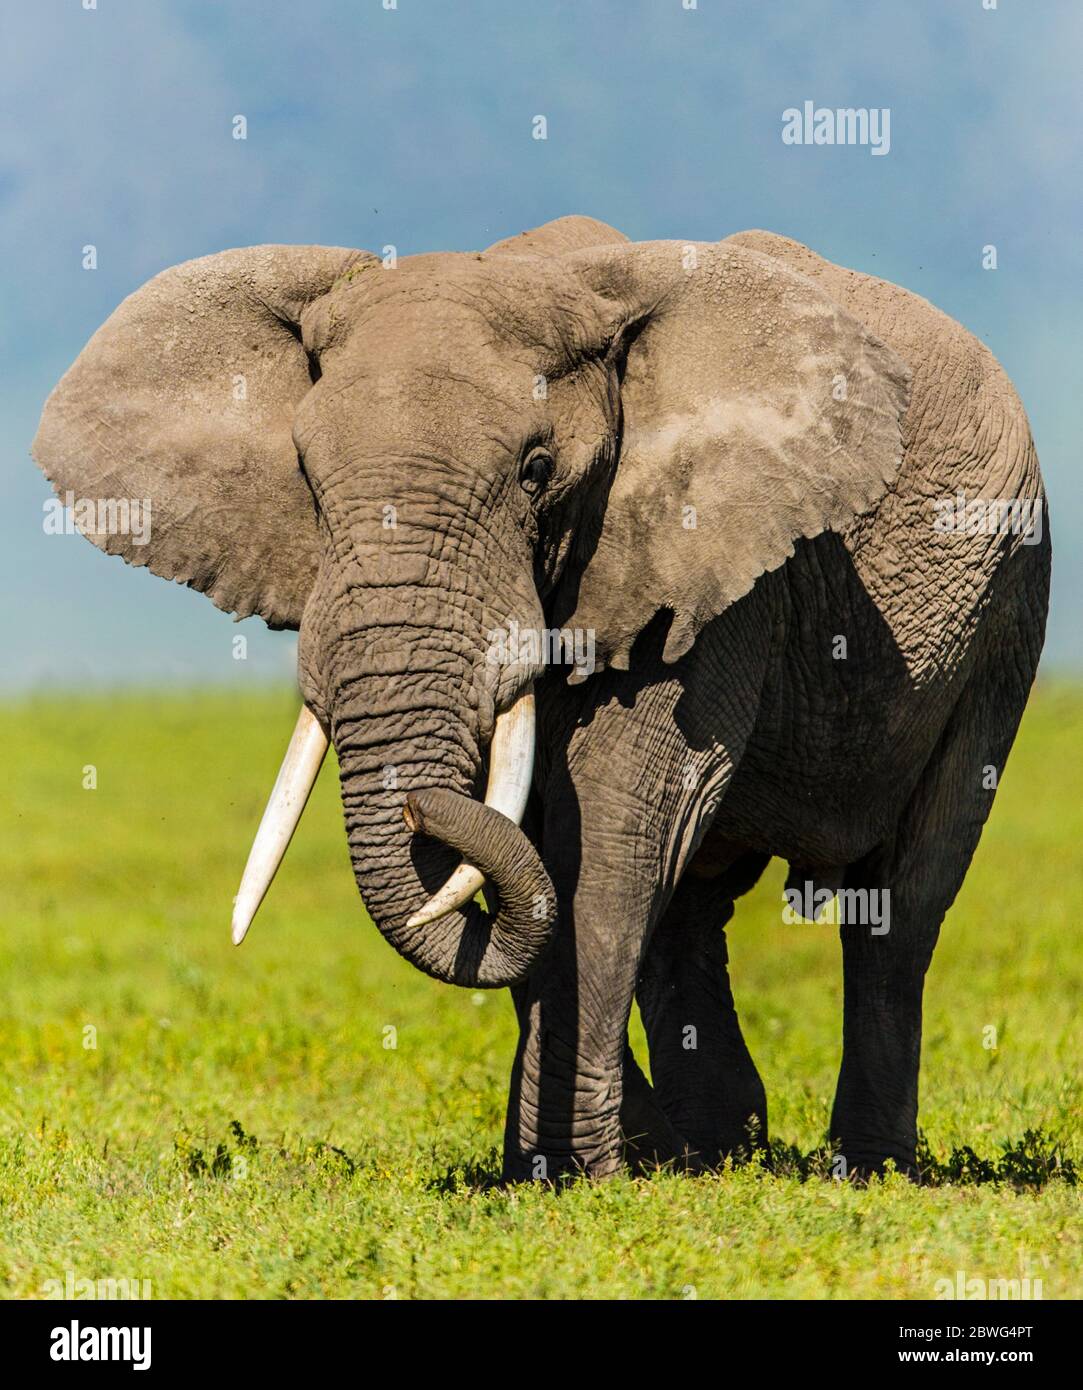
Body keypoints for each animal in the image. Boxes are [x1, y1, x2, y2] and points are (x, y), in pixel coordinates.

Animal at [33, 215, 1049, 1182]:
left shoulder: (705, 561)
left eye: (534, 470)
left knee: (900, 902)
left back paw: (862, 1168)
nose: (419, 802)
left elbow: (609, 821)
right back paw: (717, 1152)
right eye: (308, 481)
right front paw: (587, 1163)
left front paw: (579, 1174)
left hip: (1003, 609)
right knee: (691, 912)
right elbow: (530, 843)